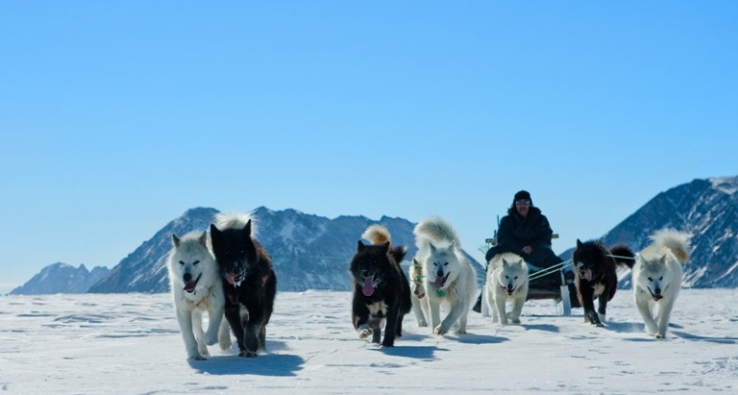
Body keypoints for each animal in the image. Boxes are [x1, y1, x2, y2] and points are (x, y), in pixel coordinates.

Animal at [167, 230, 231, 360]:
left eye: (196, 262)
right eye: (181, 262)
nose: (186, 276)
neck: (197, 292)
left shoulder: (217, 306)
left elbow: (211, 334)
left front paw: (210, 339)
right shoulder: (183, 311)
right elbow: (190, 337)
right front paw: (194, 355)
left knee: (224, 323)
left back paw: (224, 341)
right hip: (195, 313)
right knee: (198, 328)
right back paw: (203, 350)